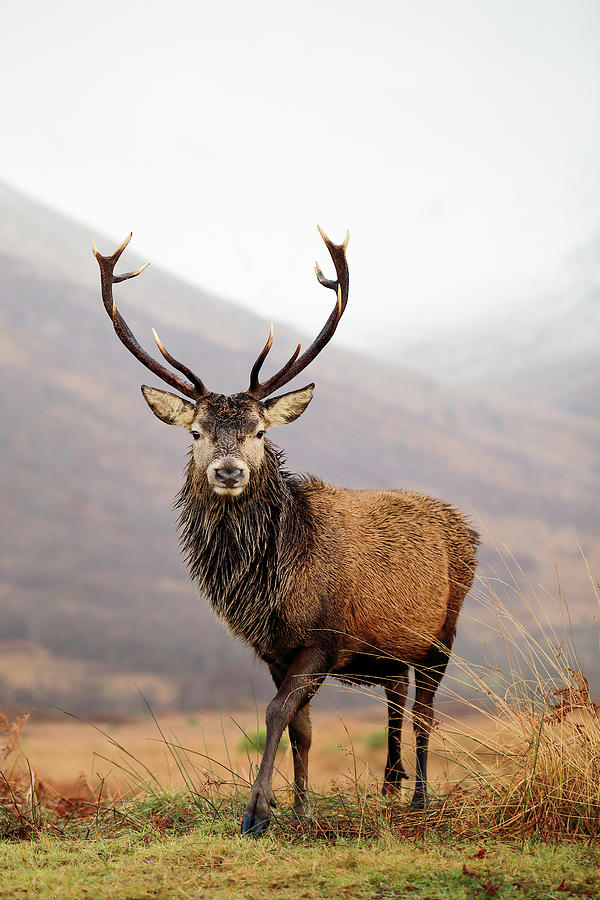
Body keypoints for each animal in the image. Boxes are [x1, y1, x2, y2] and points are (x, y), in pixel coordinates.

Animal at [93, 228, 478, 837]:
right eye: (197, 431)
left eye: (258, 430)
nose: (229, 472)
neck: (271, 586)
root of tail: (465, 525)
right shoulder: (273, 648)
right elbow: (301, 726)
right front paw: (299, 805)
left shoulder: (324, 637)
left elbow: (277, 713)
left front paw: (257, 812)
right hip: (392, 650)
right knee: (396, 702)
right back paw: (389, 789)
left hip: (444, 631)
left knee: (424, 713)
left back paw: (419, 798)